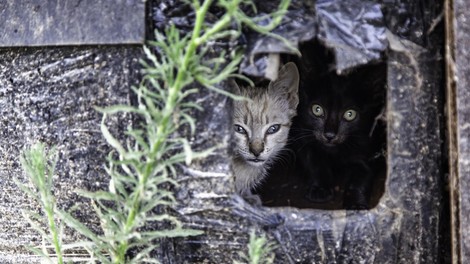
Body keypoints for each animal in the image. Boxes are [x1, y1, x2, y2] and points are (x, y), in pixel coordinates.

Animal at [294, 63, 386, 209]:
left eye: (350, 114)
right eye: (317, 109)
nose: (330, 135)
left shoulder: (369, 148)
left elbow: (361, 177)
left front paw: (355, 205)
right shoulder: (302, 135)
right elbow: (313, 162)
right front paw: (319, 189)